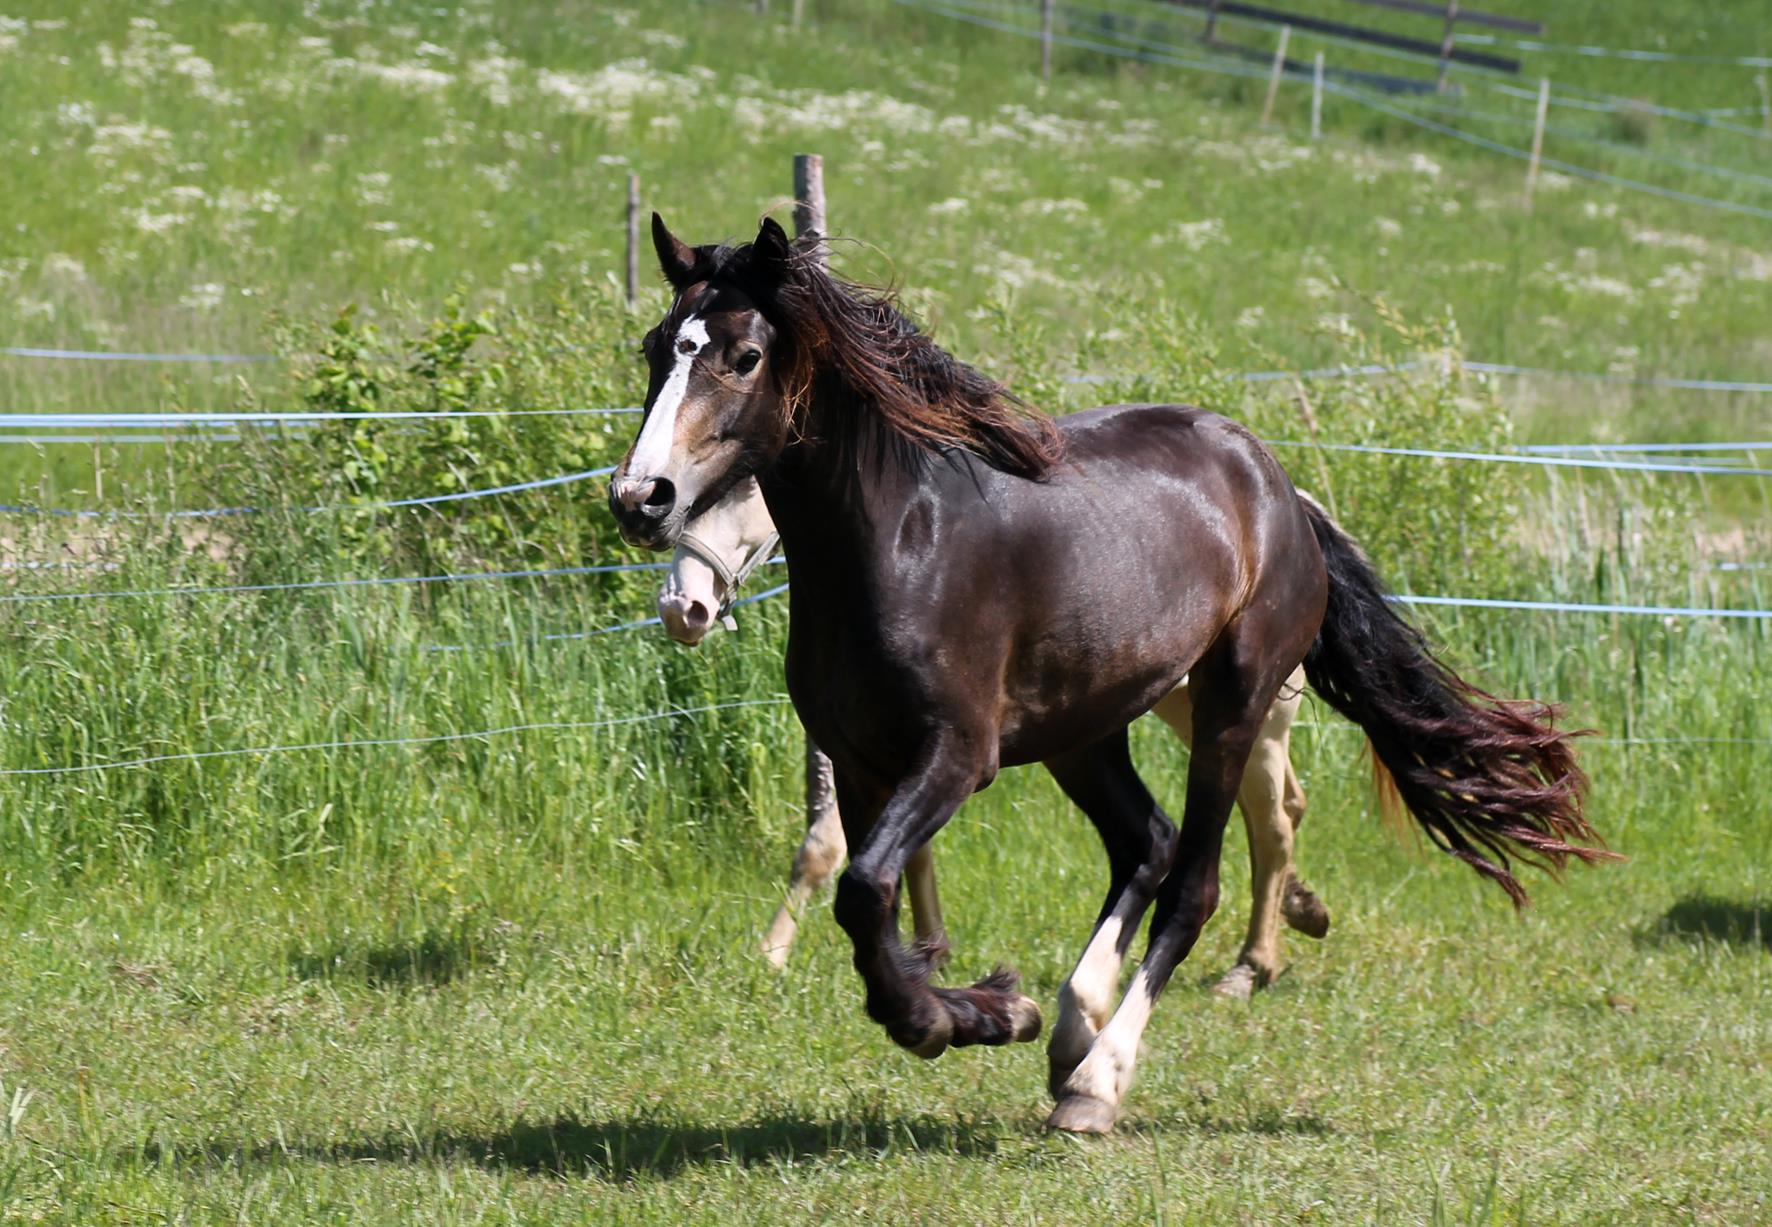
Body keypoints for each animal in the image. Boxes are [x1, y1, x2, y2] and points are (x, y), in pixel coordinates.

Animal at [606, 215, 1608, 1134]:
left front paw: (961, 1012)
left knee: (1195, 879)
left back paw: (1097, 1079)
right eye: (658, 347)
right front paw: (987, 1009)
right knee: (1147, 840)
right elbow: (867, 903)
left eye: (743, 355)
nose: (640, 498)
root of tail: (1276, 484)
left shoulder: (957, 755)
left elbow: (864, 891)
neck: (899, 543)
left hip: (1231, 704)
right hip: (1084, 730)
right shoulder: (858, 761)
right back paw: (1069, 1026)